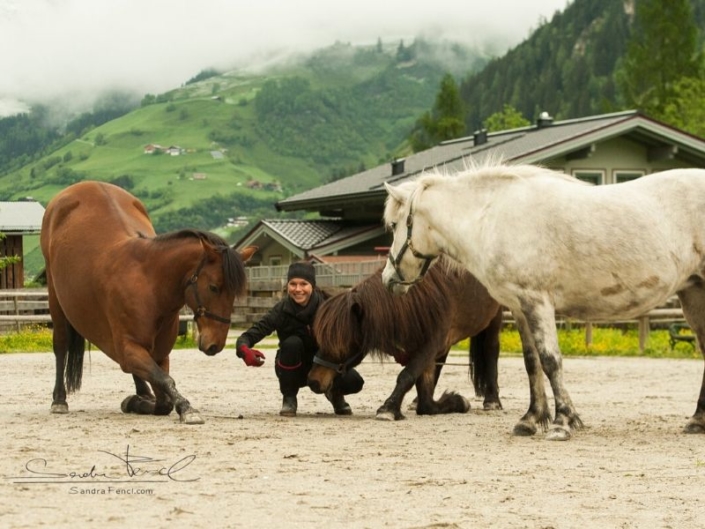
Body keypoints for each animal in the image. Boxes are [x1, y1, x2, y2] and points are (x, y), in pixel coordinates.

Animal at [40, 182, 256, 424]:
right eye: (213, 287)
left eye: (234, 294)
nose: (215, 345)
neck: (150, 286)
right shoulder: (128, 349)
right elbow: (165, 381)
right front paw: (186, 408)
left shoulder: (159, 353)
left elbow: (163, 393)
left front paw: (140, 402)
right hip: (56, 300)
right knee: (61, 345)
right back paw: (59, 400)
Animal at [306, 262, 500, 418]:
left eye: (342, 344)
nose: (313, 381)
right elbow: (426, 403)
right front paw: (456, 401)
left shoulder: (430, 345)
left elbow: (407, 375)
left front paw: (388, 409)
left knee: (491, 350)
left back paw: (492, 400)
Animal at [382, 162, 705, 442]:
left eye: (395, 225)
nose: (388, 280)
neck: (493, 216)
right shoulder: (520, 307)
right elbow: (532, 362)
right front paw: (531, 419)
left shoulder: (538, 302)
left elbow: (551, 361)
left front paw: (562, 423)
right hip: (693, 293)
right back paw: (697, 420)